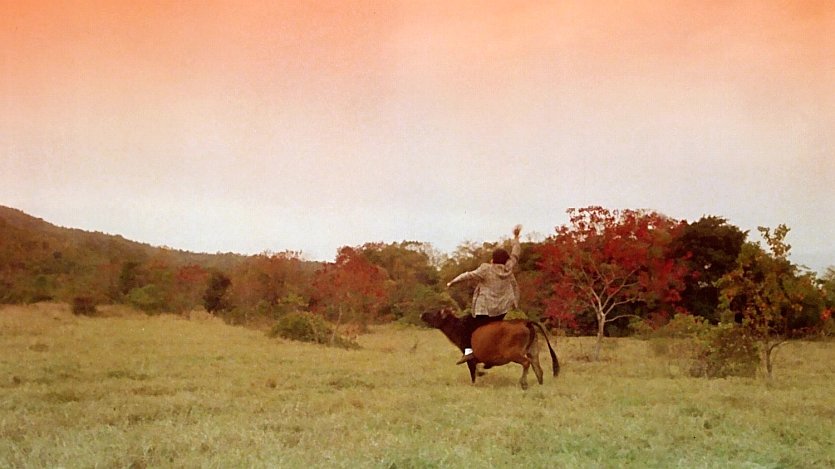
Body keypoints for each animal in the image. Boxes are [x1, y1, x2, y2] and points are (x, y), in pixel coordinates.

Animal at [421, 307, 560, 389]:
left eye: (435, 313)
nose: (422, 314)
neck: (459, 327)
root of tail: (526, 322)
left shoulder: (470, 357)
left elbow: (473, 372)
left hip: (514, 353)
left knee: (526, 363)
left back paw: (523, 383)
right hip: (533, 351)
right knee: (538, 369)